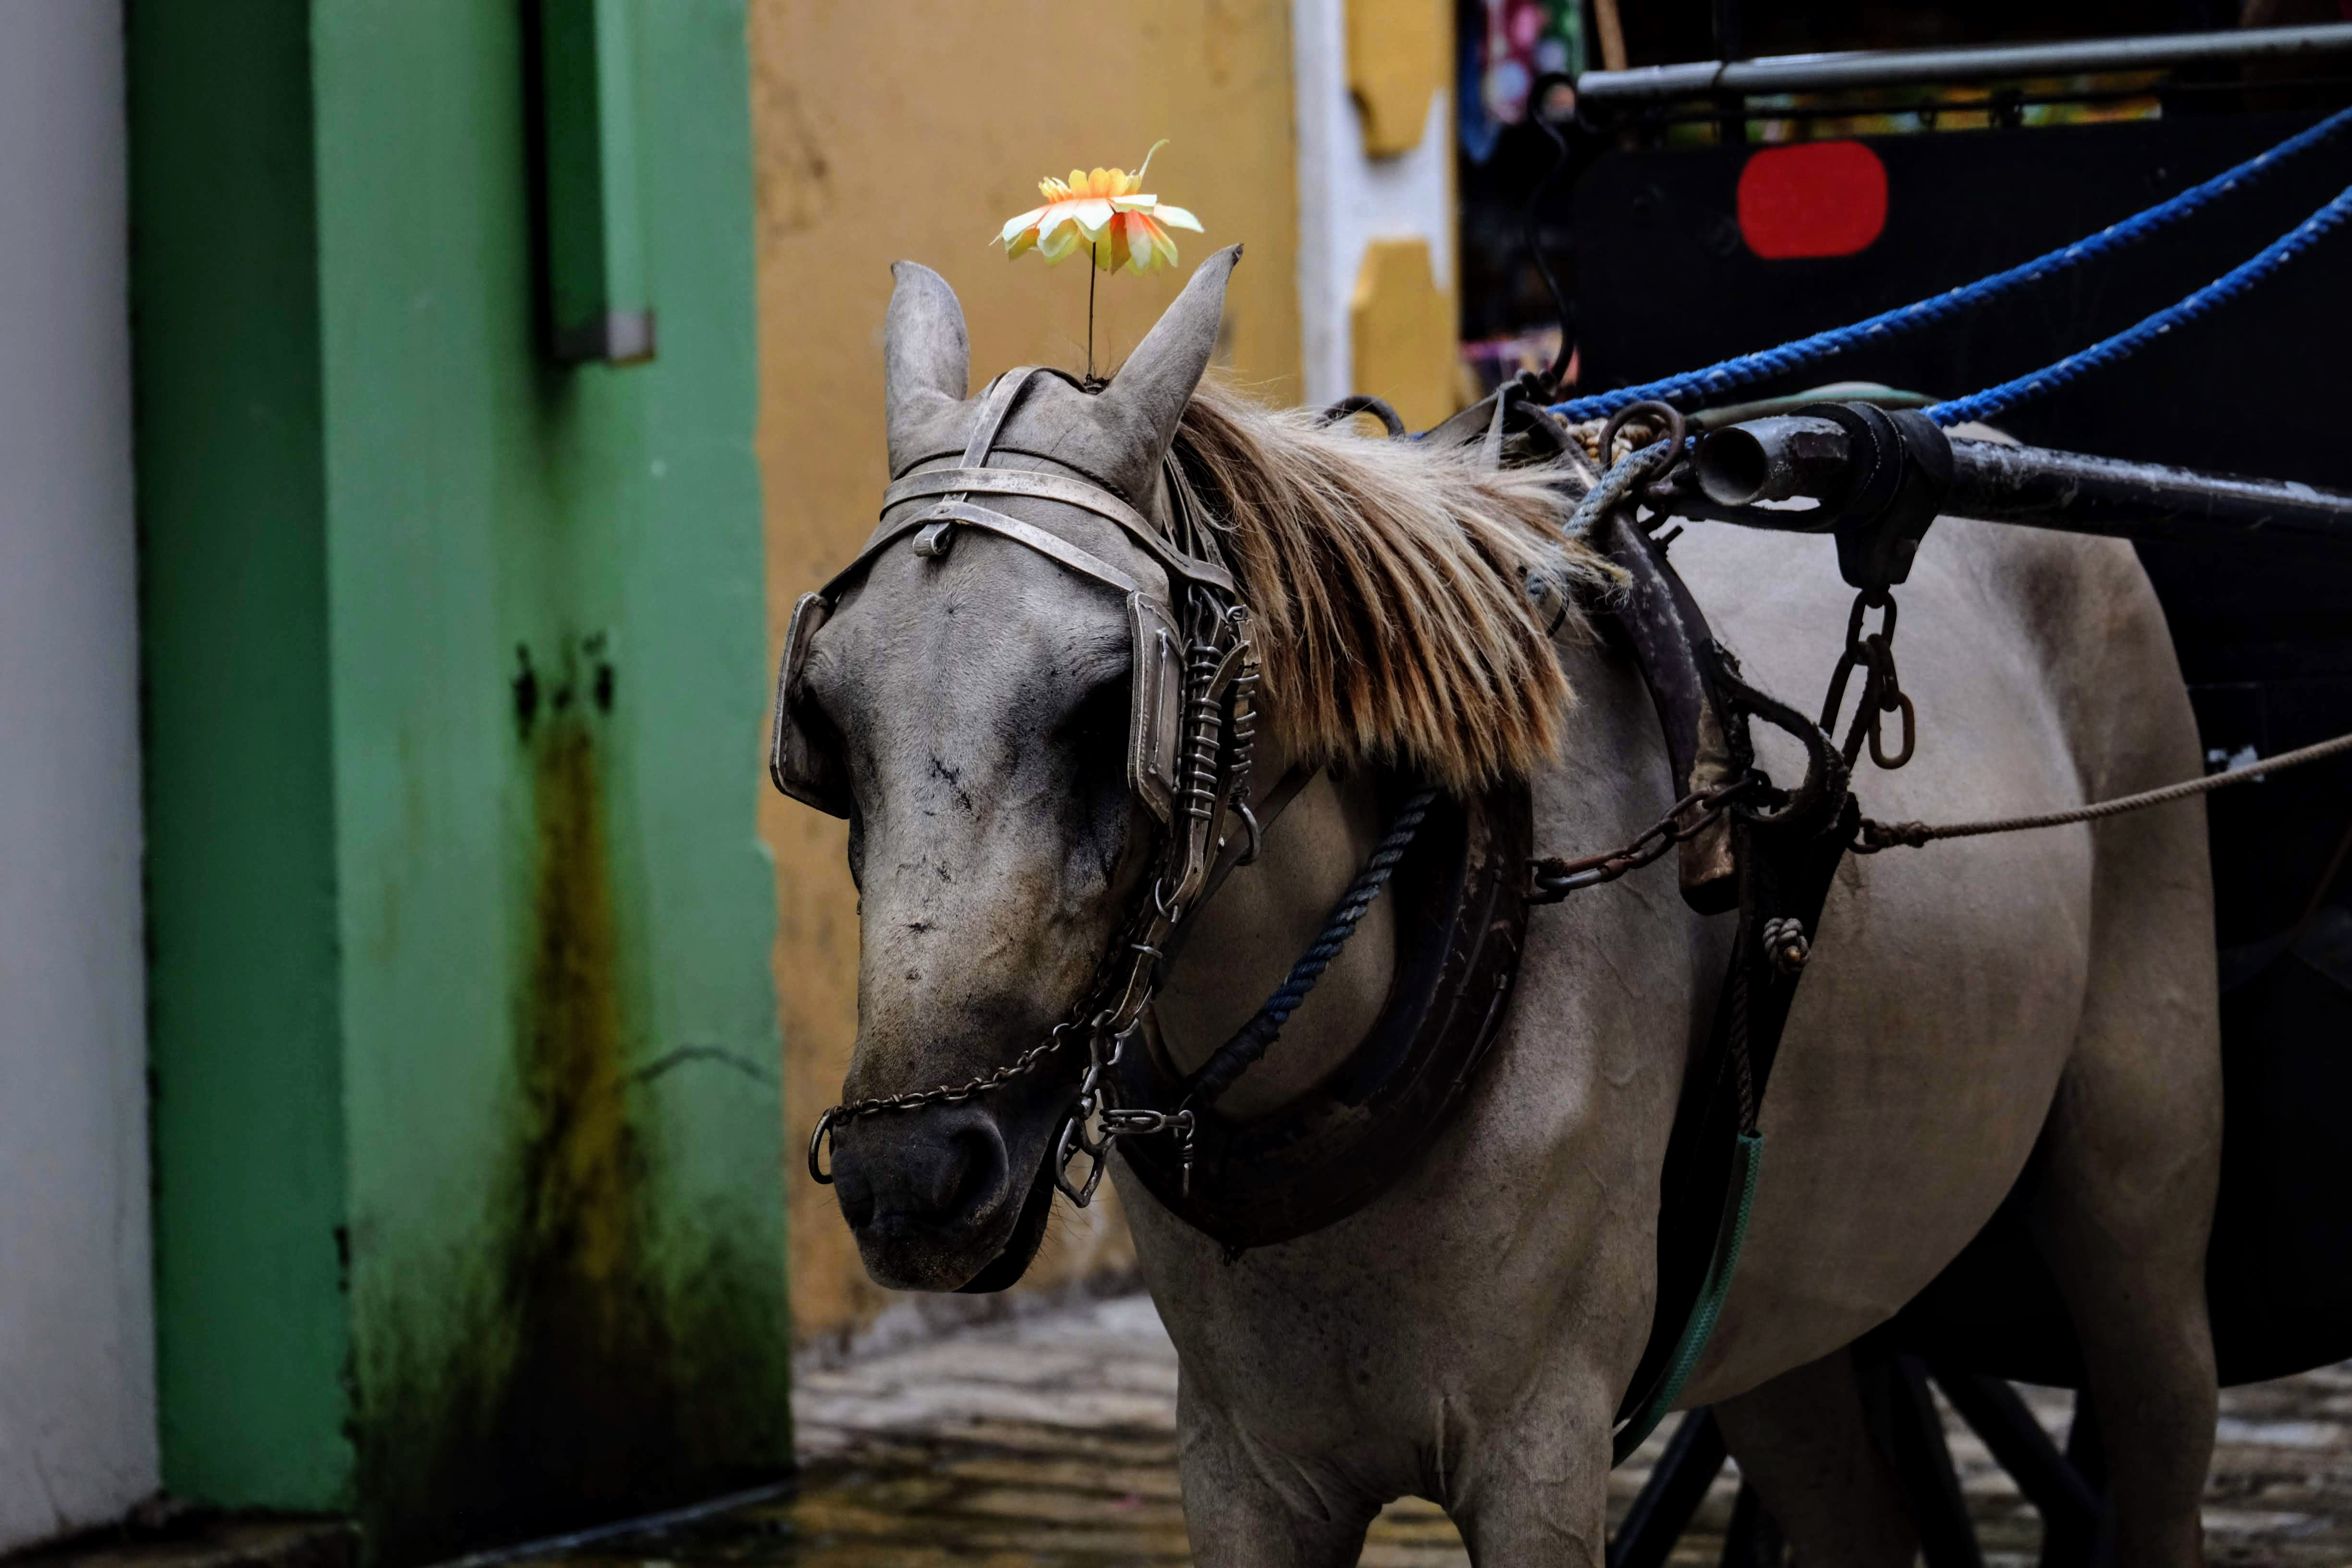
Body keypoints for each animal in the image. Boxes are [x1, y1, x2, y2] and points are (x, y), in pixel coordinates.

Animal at [795, 251, 2220, 1561]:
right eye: (826, 717)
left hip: (2136, 1213)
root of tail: (1982, 440)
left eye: (1107, 704)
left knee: (2159, 1426)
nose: (909, 1174)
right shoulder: (1242, 1468)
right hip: (1782, 1294)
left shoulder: (1541, 1450)